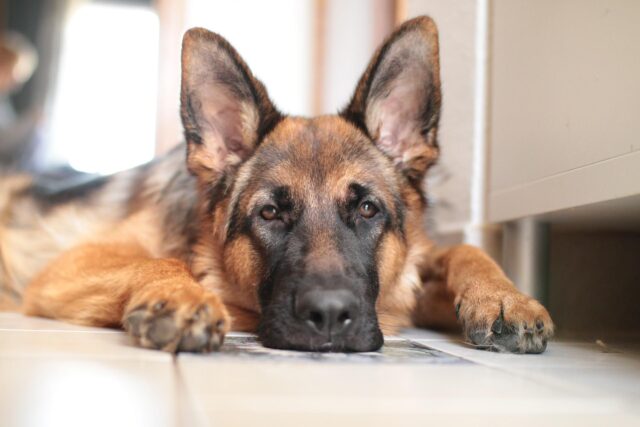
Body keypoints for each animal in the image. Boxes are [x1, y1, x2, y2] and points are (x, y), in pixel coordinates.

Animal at [0, 17, 552, 354]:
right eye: (269, 213)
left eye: (367, 210)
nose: (328, 316)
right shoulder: (66, 268)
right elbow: (161, 260)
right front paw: (180, 294)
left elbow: (463, 251)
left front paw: (506, 297)